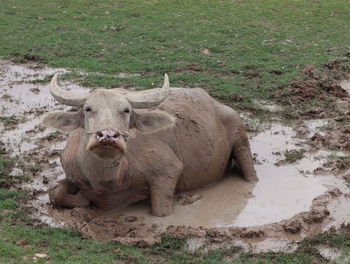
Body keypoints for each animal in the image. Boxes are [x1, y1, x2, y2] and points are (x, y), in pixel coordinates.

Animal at [41, 74, 258, 217]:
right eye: (88, 109)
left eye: (126, 110)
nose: (108, 136)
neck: (107, 180)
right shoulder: (72, 174)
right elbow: (55, 191)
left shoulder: (167, 172)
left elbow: (161, 211)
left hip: (240, 137)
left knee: (250, 173)